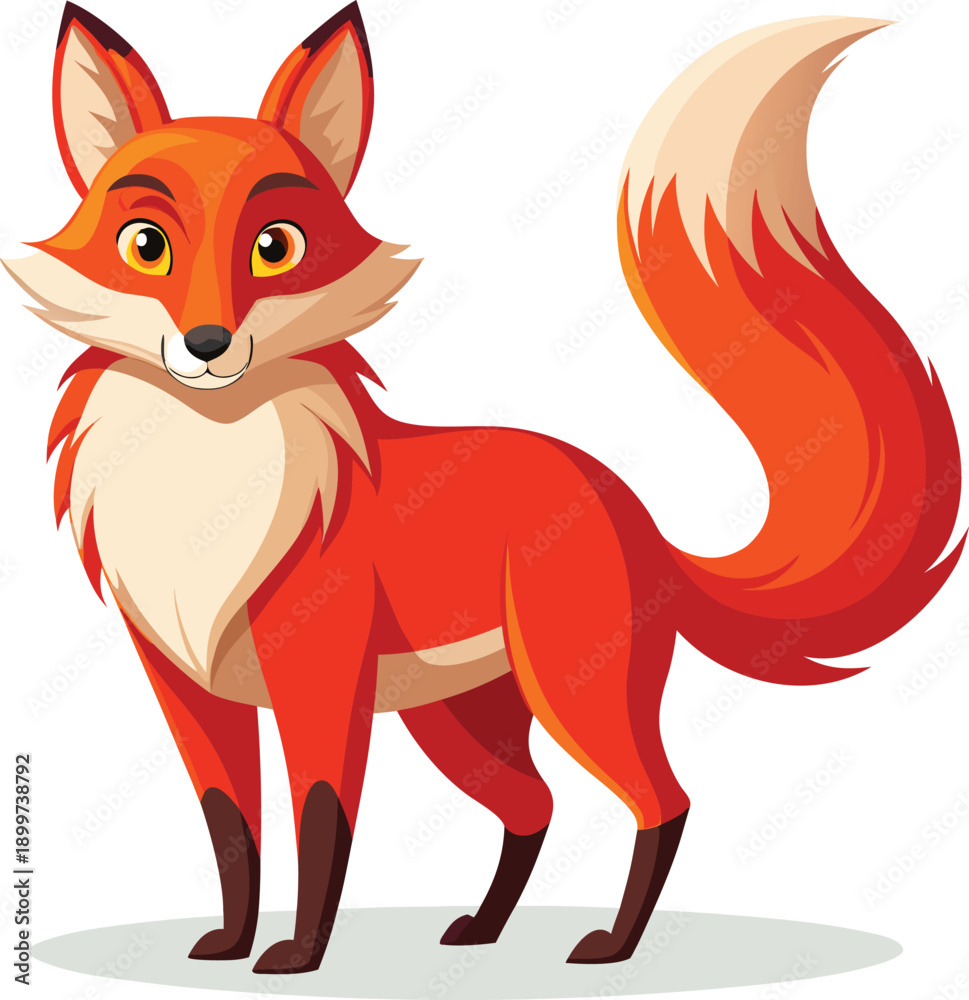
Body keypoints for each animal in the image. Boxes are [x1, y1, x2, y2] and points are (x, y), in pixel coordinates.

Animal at [4, 1, 963, 977]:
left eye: (274, 248)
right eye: (145, 245)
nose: (207, 343)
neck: (204, 496)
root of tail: (629, 507)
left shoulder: (320, 677)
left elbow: (320, 820)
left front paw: (298, 956)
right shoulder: (183, 688)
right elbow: (230, 829)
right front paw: (232, 944)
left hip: (573, 695)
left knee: (662, 801)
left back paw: (612, 946)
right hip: (459, 723)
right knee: (533, 807)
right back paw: (484, 930)